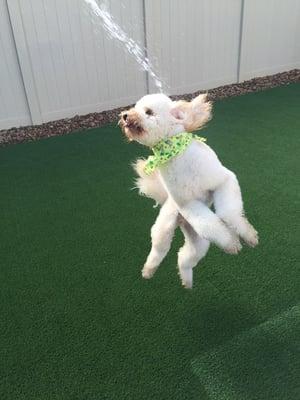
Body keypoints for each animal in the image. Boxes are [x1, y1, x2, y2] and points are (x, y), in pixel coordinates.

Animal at [119, 94, 258, 288]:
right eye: (135, 107)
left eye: (148, 112)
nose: (125, 115)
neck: (174, 152)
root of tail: (180, 221)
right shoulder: (187, 204)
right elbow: (212, 223)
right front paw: (231, 243)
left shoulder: (224, 181)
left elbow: (228, 213)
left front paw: (249, 236)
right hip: (165, 230)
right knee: (159, 252)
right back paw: (148, 272)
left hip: (198, 240)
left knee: (184, 257)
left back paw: (187, 282)